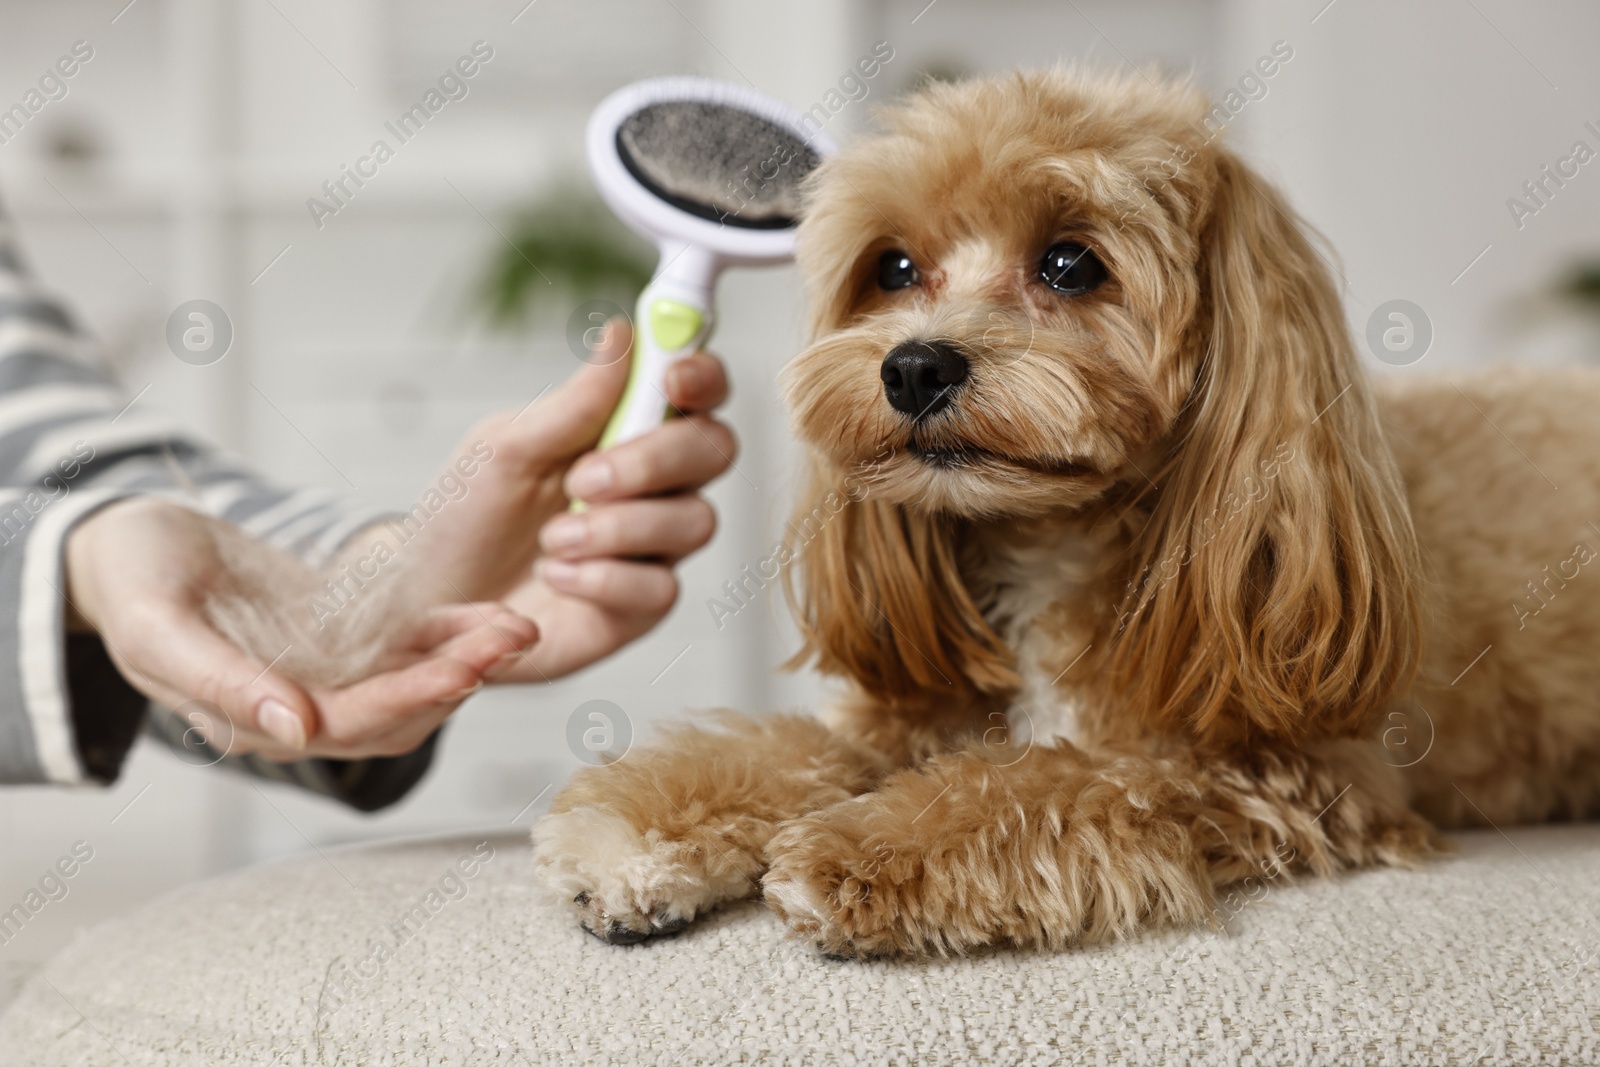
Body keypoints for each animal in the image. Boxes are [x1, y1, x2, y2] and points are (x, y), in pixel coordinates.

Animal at [531, 70, 1600, 966]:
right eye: (894, 266)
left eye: (1069, 263)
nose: (913, 366)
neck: (1052, 544)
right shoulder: (914, 710)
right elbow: (791, 750)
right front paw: (635, 833)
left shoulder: (1282, 772)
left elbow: (1049, 781)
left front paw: (859, 848)